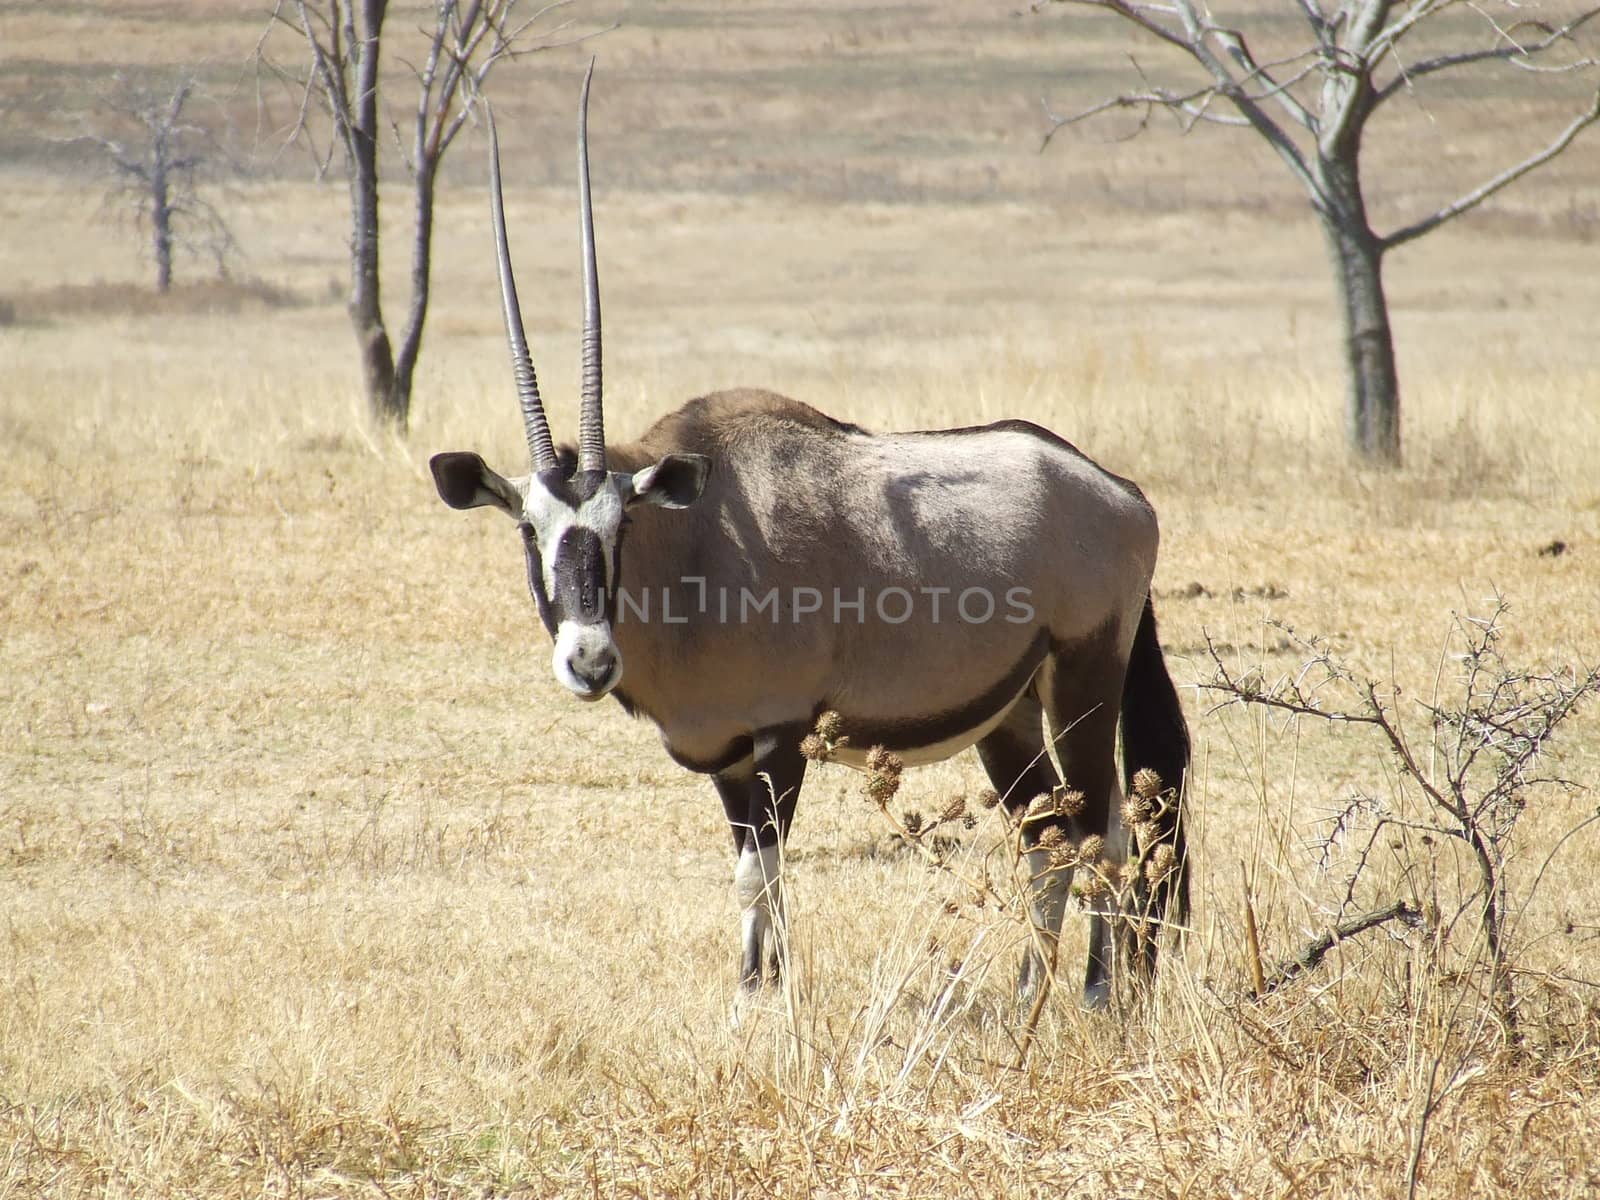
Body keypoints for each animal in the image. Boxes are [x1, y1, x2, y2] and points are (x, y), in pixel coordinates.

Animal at [432, 70, 1196, 1011]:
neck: (699, 546)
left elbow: (761, 876)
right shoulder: (727, 760)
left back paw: (1094, 997)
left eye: (623, 523)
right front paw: (760, 994)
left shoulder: (779, 739)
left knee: (1104, 830)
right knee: (1048, 839)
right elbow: (755, 880)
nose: (589, 661)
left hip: (1084, 677)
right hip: (1010, 714)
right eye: (529, 528)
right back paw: (1025, 998)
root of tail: (1121, 494)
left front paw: (760, 1004)